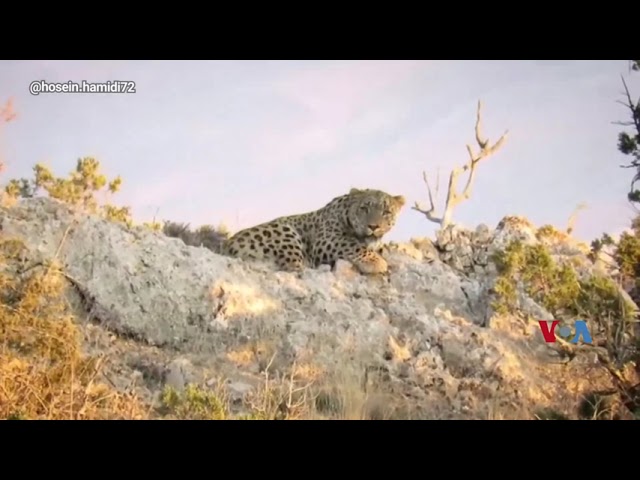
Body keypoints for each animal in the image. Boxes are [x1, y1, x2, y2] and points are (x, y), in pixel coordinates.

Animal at [220, 189, 404, 276]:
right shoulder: (325, 241)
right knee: (294, 268)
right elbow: (352, 244)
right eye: (364, 208)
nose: (373, 226)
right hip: (285, 232)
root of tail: (226, 247)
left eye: (386, 212)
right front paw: (376, 262)